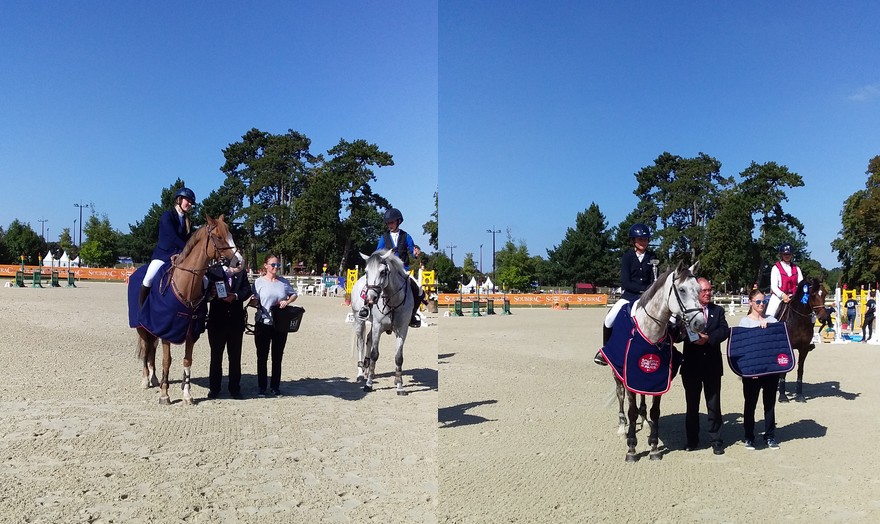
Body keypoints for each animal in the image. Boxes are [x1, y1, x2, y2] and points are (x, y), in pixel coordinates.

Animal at [127, 215, 241, 404]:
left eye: (231, 234)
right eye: (218, 237)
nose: (240, 262)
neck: (186, 285)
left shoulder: (190, 332)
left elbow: (187, 361)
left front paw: (187, 394)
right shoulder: (166, 329)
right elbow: (167, 361)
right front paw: (164, 394)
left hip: (152, 329)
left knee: (152, 350)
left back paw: (154, 378)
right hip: (141, 328)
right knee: (146, 349)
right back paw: (145, 380)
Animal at [348, 252, 414, 396]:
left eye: (383, 272)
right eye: (367, 271)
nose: (370, 298)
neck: (393, 302)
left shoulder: (402, 330)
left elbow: (398, 357)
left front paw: (400, 386)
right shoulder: (378, 327)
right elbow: (374, 355)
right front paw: (369, 384)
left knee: (368, 339)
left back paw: (367, 370)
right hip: (359, 321)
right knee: (361, 343)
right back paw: (361, 373)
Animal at [596, 264, 704, 460]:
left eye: (699, 290)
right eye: (682, 290)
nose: (700, 324)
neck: (650, 331)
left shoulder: (658, 379)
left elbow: (655, 411)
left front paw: (653, 446)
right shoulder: (628, 376)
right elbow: (631, 411)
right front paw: (631, 448)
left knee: (643, 399)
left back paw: (645, 421)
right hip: (617, 375)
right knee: (620, 396)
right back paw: (622, 428)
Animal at [772, 276, 828, 404]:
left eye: (825, 294)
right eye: (813, 294)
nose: (824, 318)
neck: (798, 319)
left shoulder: (804, 349)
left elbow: (800, 370)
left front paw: (799, 395)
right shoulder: (786, 348)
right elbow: (784, 371)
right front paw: (783, 396)